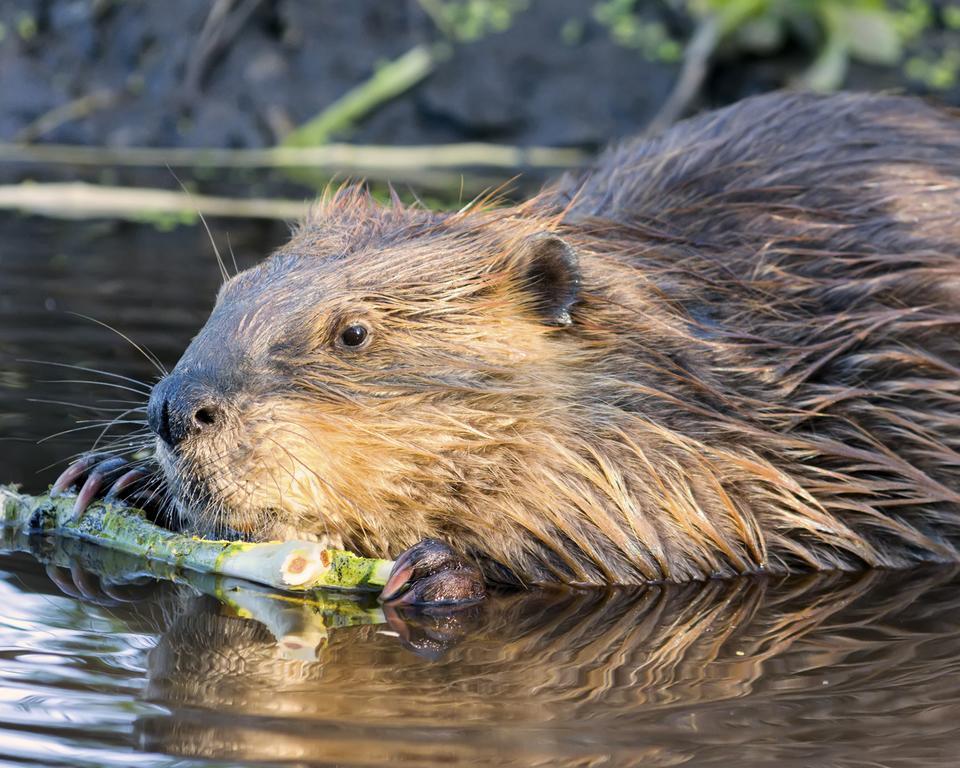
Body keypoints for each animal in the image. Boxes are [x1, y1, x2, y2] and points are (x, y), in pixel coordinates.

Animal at [52, 91, 960, 608]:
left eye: (353, 333)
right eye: (229, 293)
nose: (176, 410)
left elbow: (692, 531)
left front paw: (438, 571)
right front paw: (112, 479)